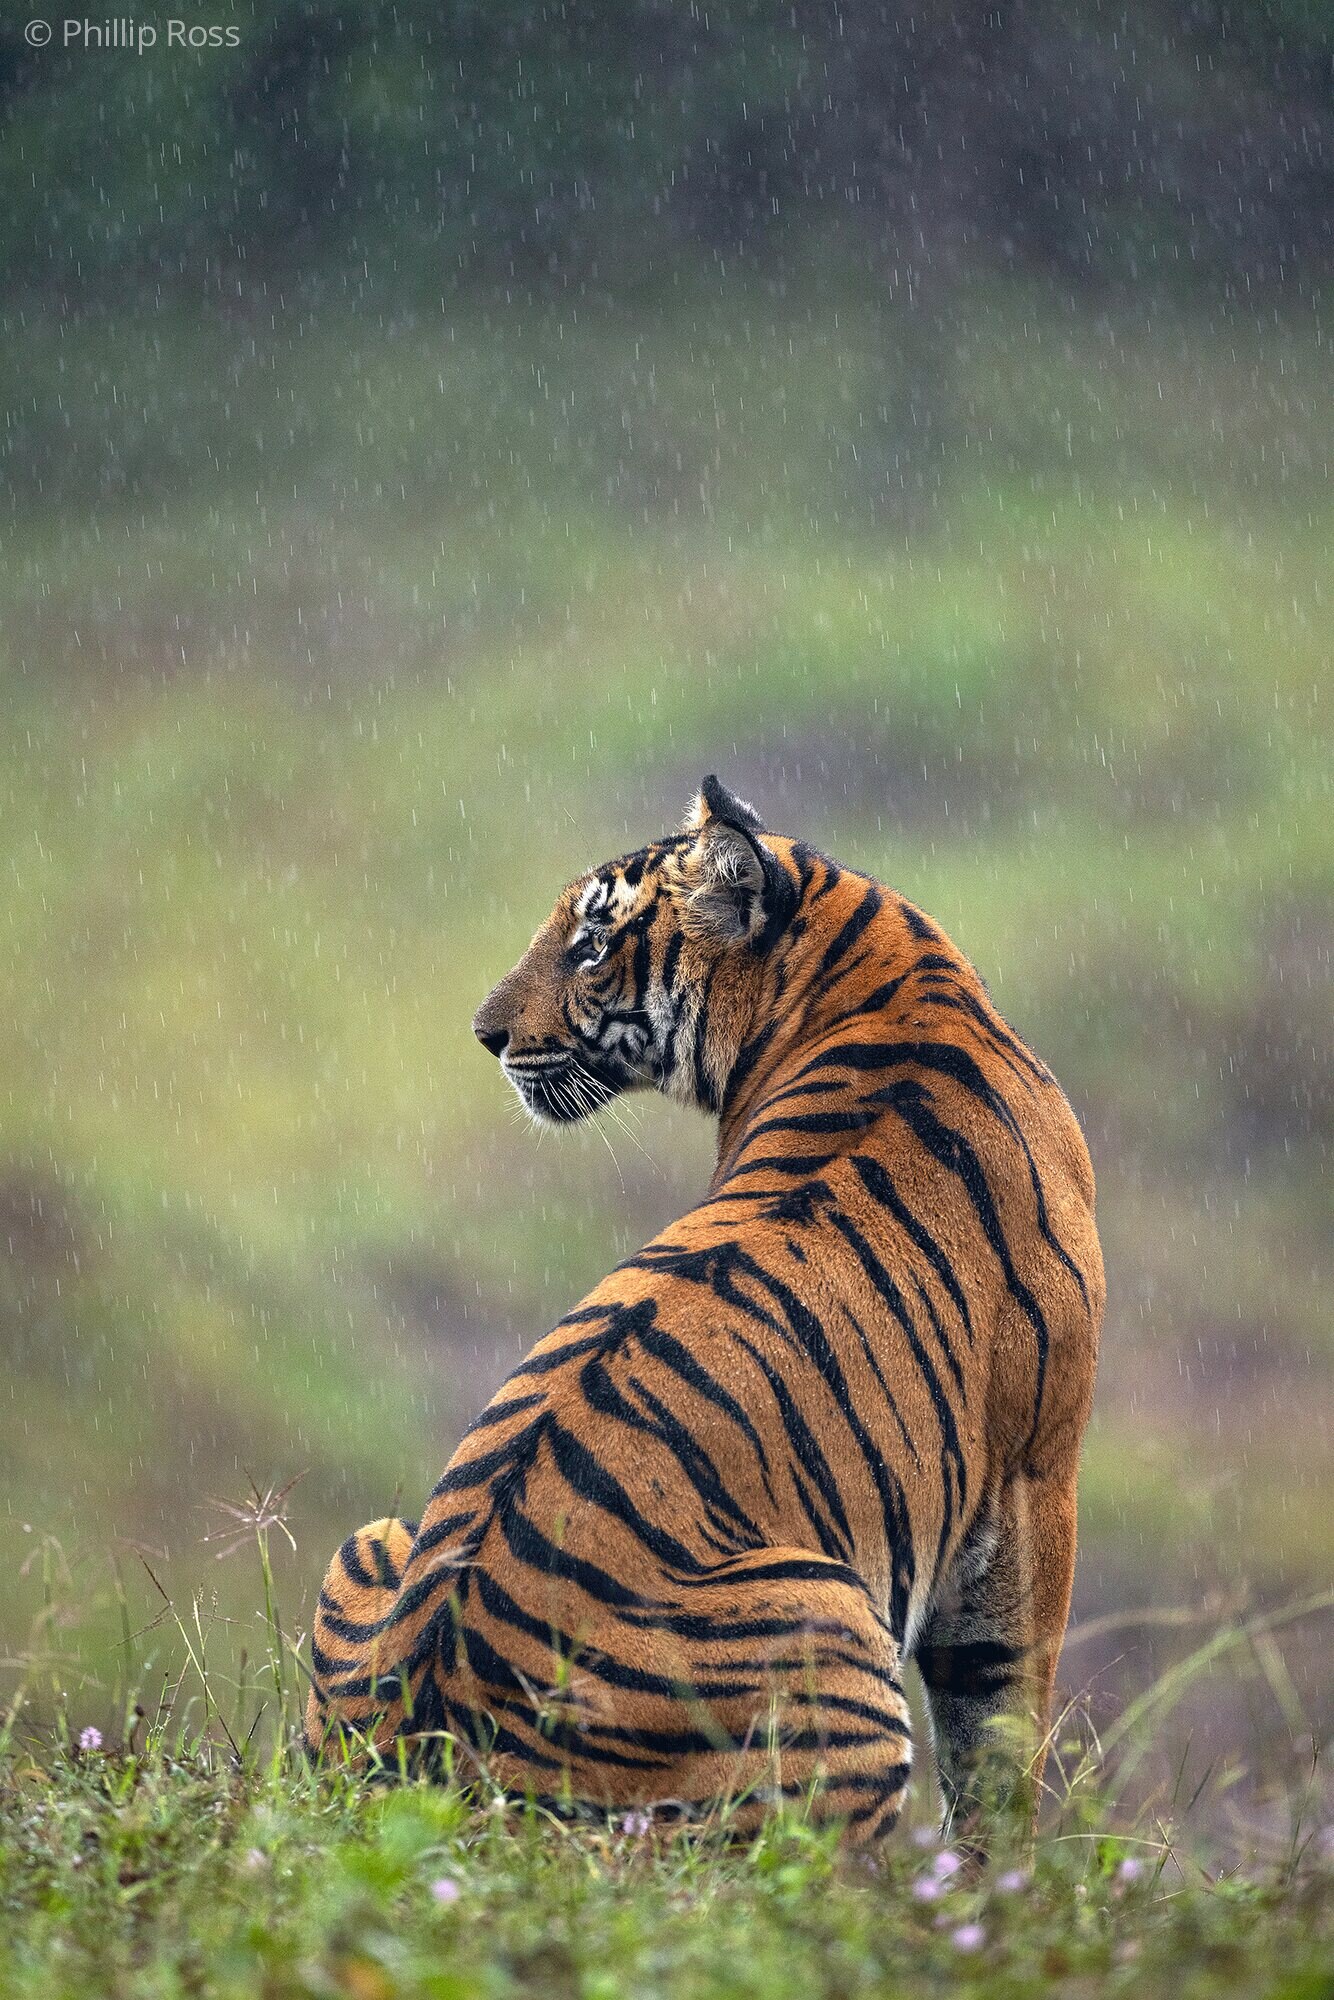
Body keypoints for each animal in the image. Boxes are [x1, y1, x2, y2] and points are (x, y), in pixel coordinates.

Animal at [305, 776, 1103, 1842]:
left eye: (590, 945)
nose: (484, 1034)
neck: (876, 976)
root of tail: (428, 1751)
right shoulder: (1035, 1473)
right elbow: (999, 1726)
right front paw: (1014, 1874)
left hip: (373, 1542)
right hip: (828, 1613)